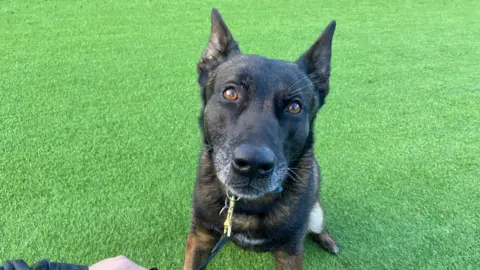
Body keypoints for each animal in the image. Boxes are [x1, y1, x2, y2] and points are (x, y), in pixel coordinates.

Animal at [183, 8, 338, 270]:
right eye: (230, 93)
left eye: (295, 107)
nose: (253, 165)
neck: (246, 205)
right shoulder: (200, 236)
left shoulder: (290, 252)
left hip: (316, 214)